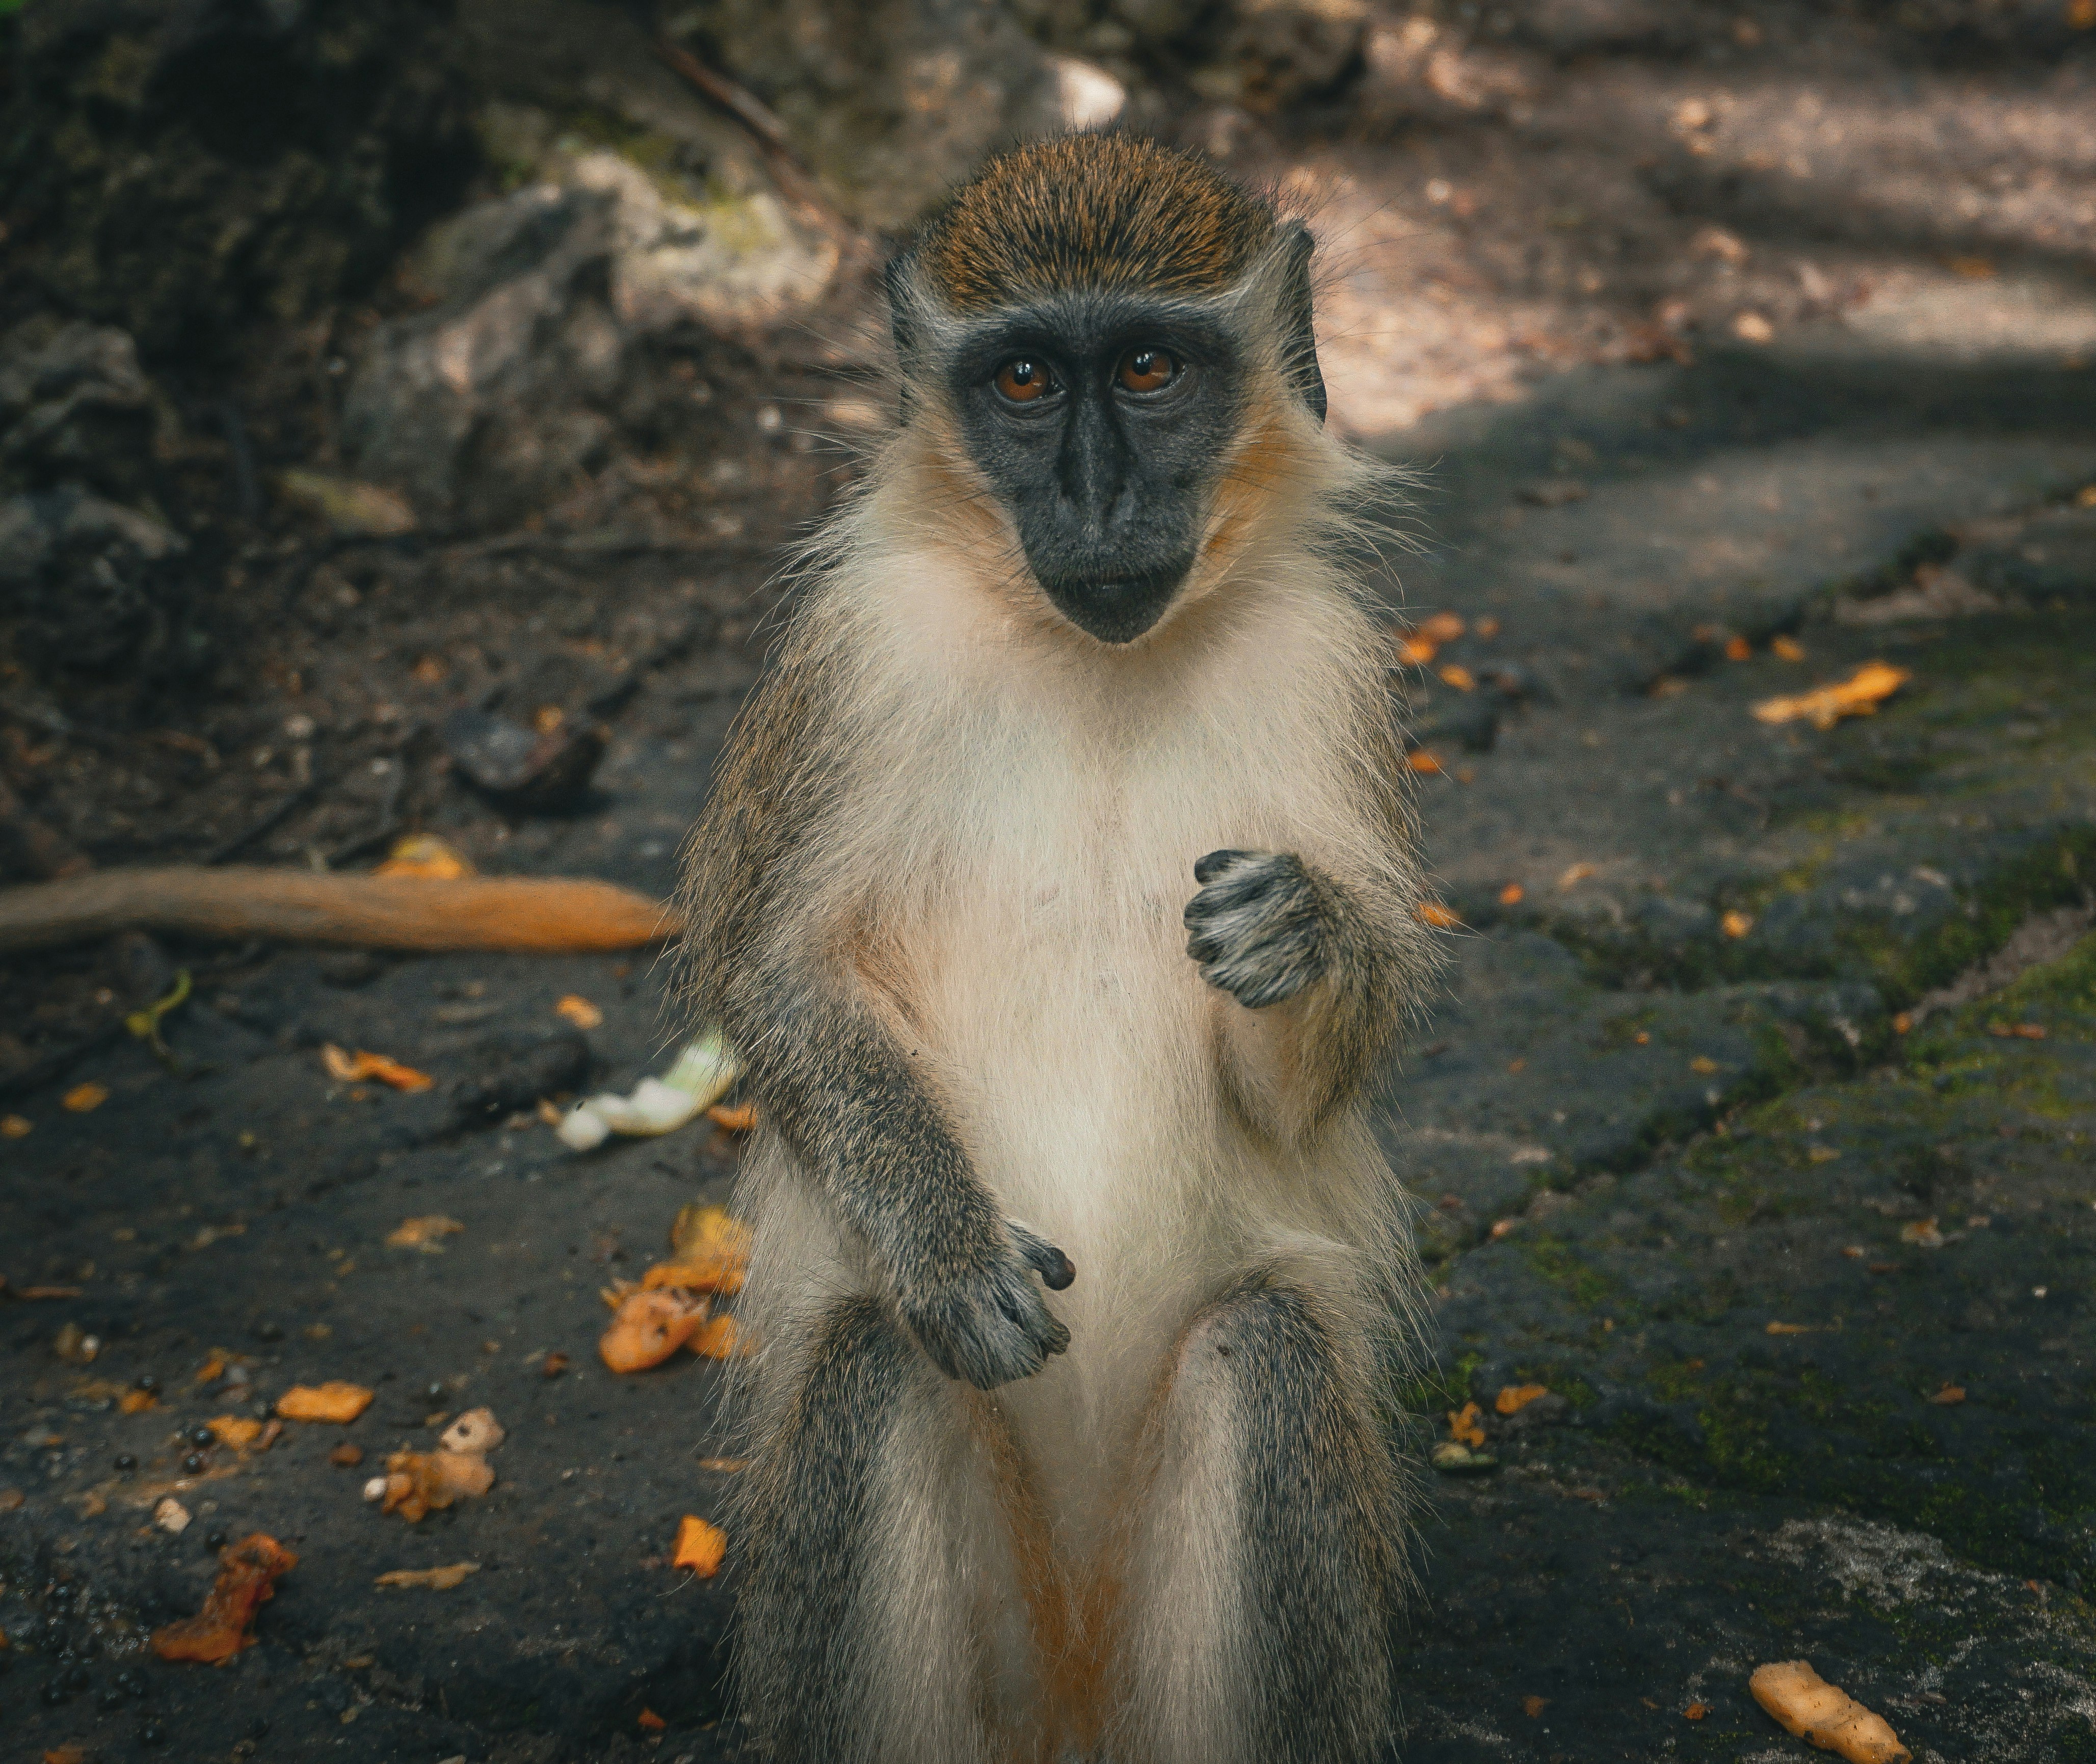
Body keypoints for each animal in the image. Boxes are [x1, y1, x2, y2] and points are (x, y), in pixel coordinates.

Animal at [679, 132, 1439, 1764]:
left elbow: (1299, 1091)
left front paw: (1301, 934)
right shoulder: (853, 660)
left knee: (1268, 1359)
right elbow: (772, 974)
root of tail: (1076, 1703)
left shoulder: (1329, 668)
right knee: (875, 1369)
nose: (1095, 497)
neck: (1091, 656)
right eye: (1024, 381)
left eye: (1149, 366)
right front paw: (949, 1241)